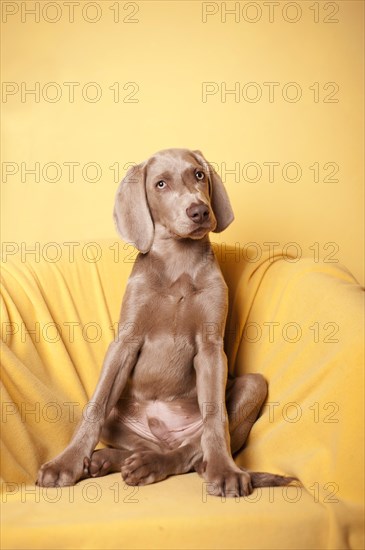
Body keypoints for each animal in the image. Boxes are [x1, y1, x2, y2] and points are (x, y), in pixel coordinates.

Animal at [37, 149, 294, 498]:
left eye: (199, 174)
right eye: (160, 184)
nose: (199, 211)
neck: (177, 261)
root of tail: (166, 435)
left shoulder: (211, 348)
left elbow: (216, 416)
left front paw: (226, 471)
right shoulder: (124, 343)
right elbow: (95, 407)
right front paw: (66, 463)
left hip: (253, 386)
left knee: (187, 452)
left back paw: (153, 465)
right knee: (138, 440)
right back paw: (109, 460)